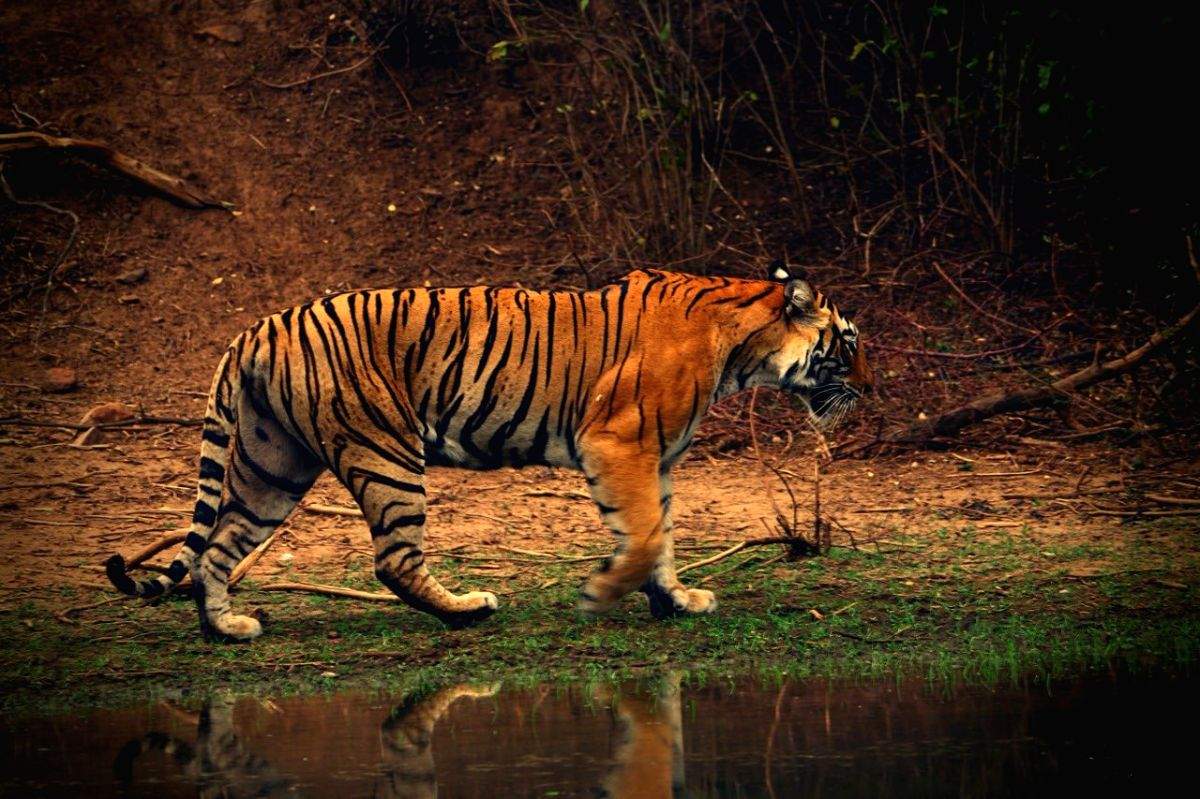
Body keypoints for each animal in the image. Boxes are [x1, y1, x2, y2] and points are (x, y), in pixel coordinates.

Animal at [106, 263, 871, 641]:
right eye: (849, 341)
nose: (869, 389)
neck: (744, 347)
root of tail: (256, 328)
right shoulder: (618, 441)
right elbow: (647, 534)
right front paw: (603, 593)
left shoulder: (655, 459)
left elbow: (660, 535)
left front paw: (676, 599)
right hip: (385, 452)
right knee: (392, 560)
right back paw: (467, 609)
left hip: (274, 463)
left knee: (217, 548)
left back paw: (228, 627)